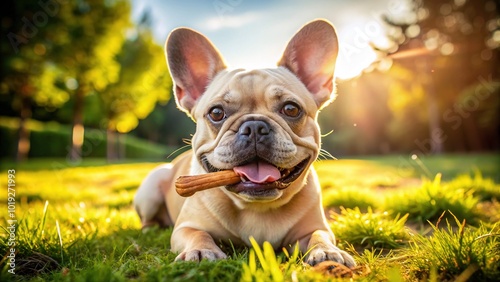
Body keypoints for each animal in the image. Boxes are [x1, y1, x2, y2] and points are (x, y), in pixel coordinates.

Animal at [134, 19, 356, 266]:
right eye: (216, 113)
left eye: (291, 109)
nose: (255, 126)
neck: (256, 207)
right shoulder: (186, 227)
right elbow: (197, 234)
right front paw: (201, 251)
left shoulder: (315, 228)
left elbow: (319, 235)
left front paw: (327, 251)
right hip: (152, 187)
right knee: (148, 219)